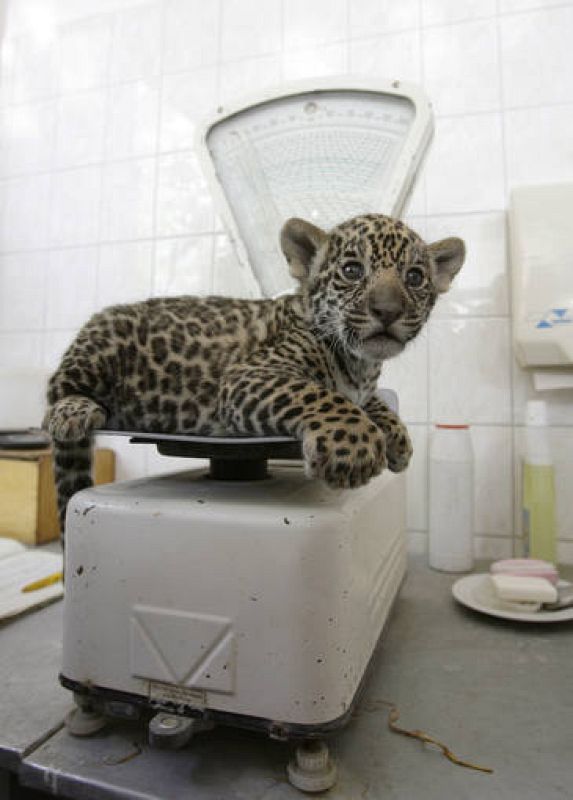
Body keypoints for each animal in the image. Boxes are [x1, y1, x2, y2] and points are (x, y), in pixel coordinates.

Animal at [45, 213, 465, 537]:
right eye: (352, 270)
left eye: (415, 277)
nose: (388, 311)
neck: (361, 364)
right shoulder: (249, 374)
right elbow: (321, 395)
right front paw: (354, 450)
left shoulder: (363, 384)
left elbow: (372, 402)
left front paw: (398, 439)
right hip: (102, 337)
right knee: (55, 395)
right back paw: (74, 412)